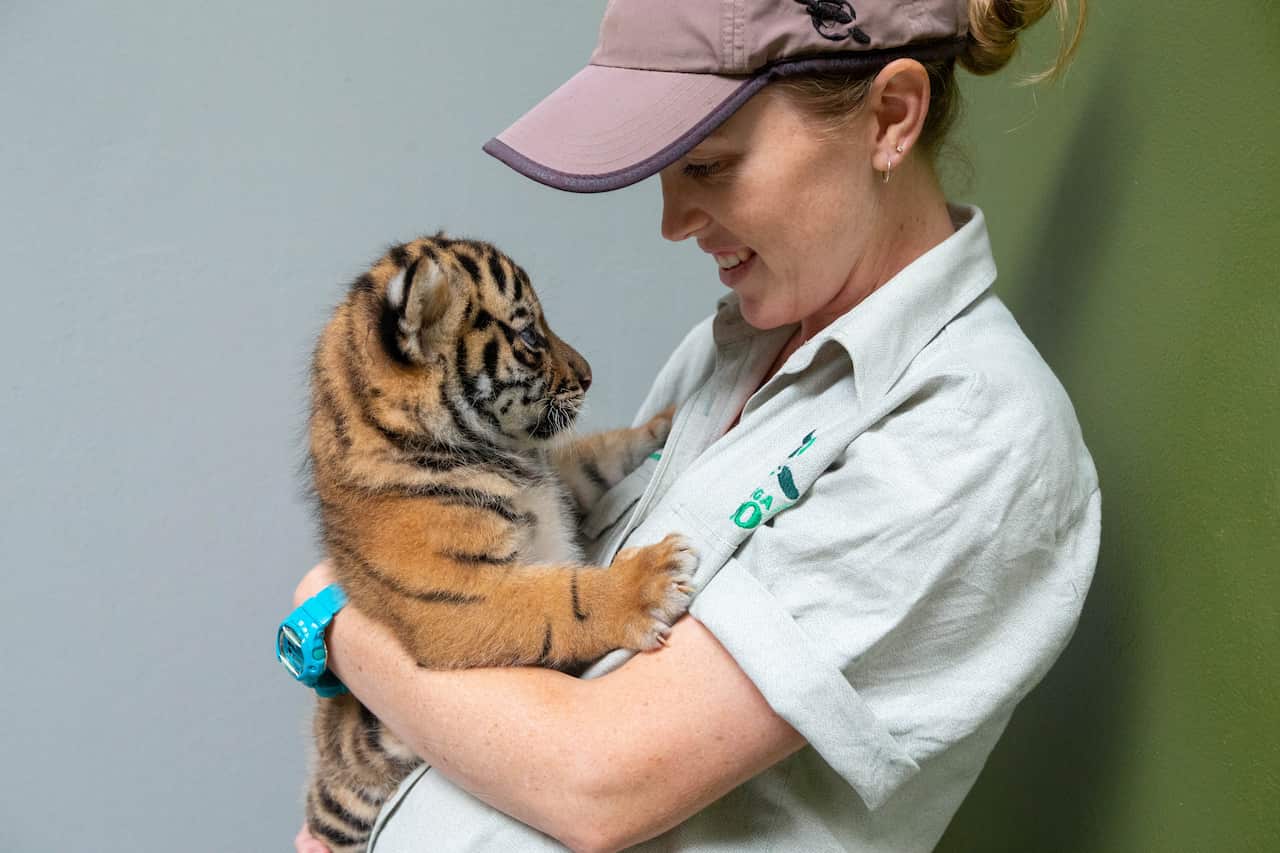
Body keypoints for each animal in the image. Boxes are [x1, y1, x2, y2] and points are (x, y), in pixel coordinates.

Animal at [303, 233, 697, 852]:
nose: (589, 376)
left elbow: (601, 453)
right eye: (531, 337)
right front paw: (651, 580)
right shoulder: (463, 600)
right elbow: (563, 600)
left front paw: (667, 419)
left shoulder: (561, 482)